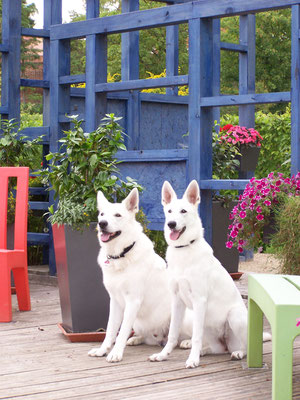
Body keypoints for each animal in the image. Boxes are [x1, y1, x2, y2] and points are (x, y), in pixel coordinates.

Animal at [88, 188, 190, 362]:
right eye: (102, 214)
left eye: (117, 215)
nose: (102, 224)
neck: (121, 255)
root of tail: (161, 337)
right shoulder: (115, 302)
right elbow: (110, 331)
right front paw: (103, 350)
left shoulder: (132, 301)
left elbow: (121, 331)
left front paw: (115, 352)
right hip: (139, 323)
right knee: (147, 337)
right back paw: (136, 339)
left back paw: (188, 342)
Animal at [150, 181, 270, 368]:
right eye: (169, 211)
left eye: (183, 211)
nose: (171, 224)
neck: (184, 249)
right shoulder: (177, 300)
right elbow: (172, 334)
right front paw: (163, 355)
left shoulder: (199, 300)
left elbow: (195, 337)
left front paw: (192, 359)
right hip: (204, 322)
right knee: (218, 348)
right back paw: (204, 352)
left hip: (233, 317)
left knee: (245, 347)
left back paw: (237, 353)